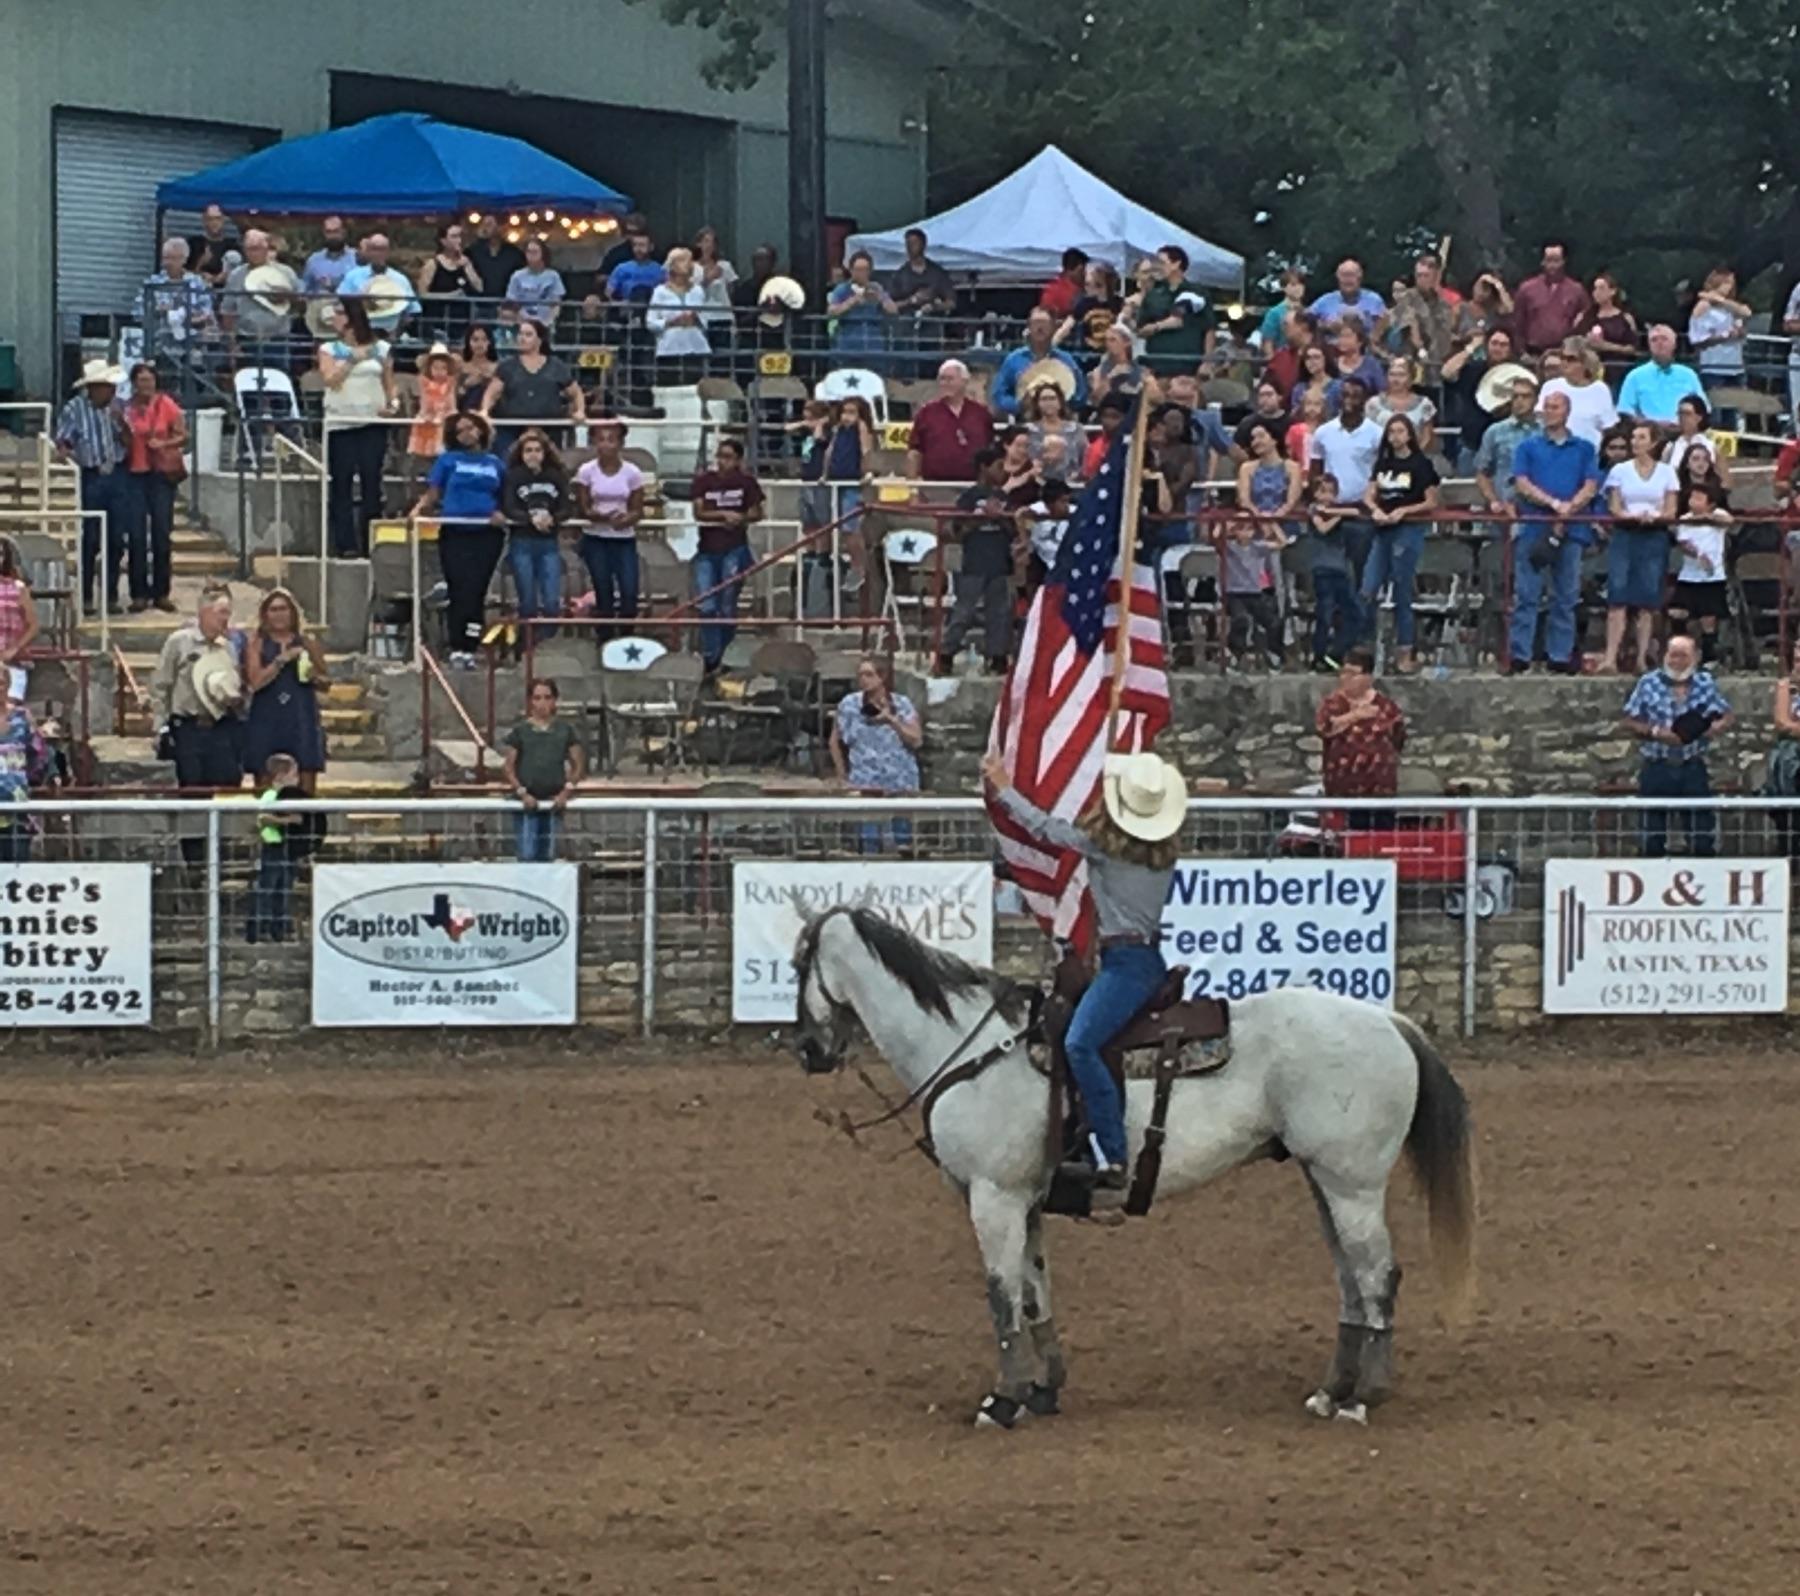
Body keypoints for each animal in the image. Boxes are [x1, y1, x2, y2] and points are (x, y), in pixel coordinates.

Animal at [799, 903, 1476, 1432]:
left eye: (799, 961)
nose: (808, 1050)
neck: (975, 1050)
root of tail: (1389, 1020)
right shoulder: (1023, 1200)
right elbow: (1034, 1292)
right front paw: (1043, 1390)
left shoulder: (993, 1198)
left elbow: (1001, 1297)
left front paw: (1002, 1401)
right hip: (1322, 1179)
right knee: (1351, 1279)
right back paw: (1331, 1391)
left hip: (1352, 1184)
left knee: (1379, 1275)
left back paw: (1365, 1397)